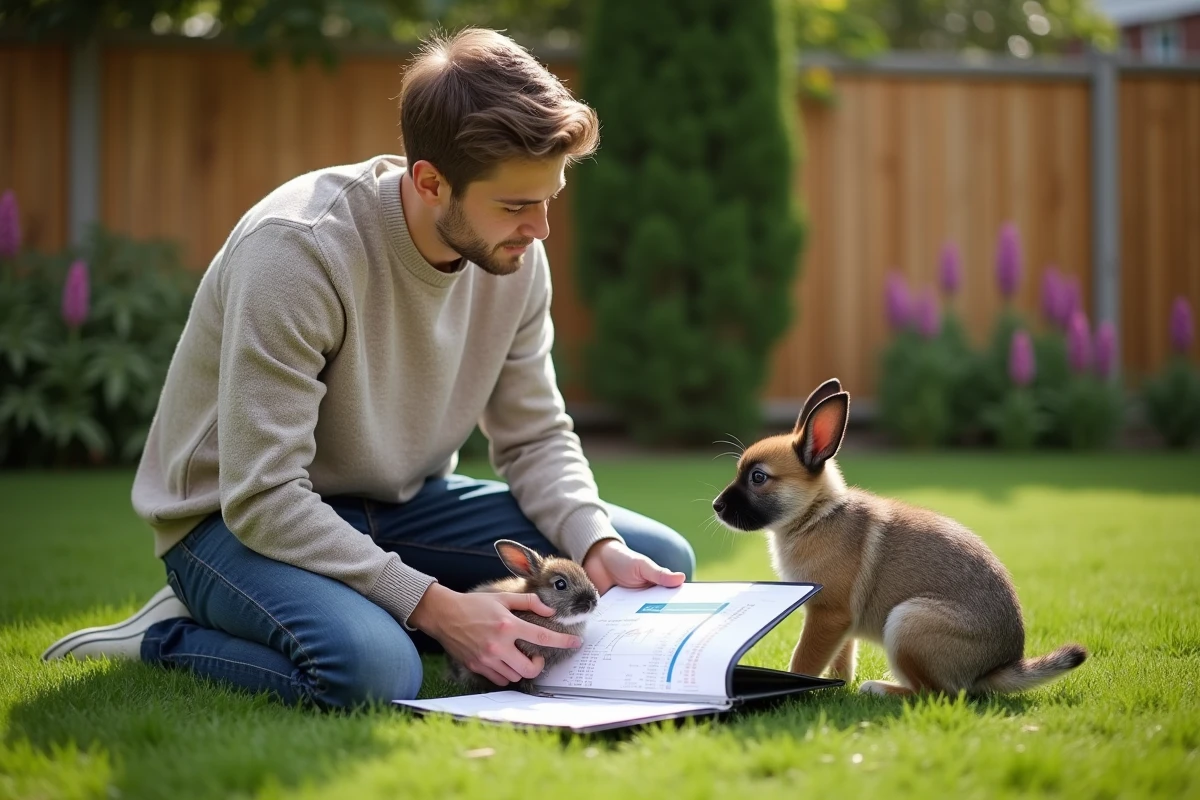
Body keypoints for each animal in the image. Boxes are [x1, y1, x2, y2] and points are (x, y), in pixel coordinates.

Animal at [711, 377, 1087, 697]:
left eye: (758, 478)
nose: (716, 506)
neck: (815, 515)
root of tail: (996, 669)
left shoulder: (827, 615)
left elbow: (804, 659)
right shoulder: (840, 623)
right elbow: (841, 657)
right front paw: (838, 682)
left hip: (908, 622)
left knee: (937, 693)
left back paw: (881, 689)